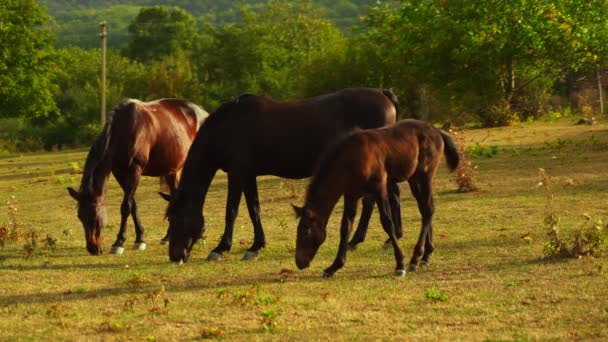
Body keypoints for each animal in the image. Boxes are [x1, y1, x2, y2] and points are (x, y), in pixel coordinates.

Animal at [68, 97, 208, 255]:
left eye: (94, 215)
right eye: (80, 216)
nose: (92, 248)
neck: (124, 129)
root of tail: (203, 112)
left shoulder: (135, 170)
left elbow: (126, 207)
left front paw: (119, 242)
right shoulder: (120, 173)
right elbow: (133, 205)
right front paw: (139, 238)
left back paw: (199, 235)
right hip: (172, 171)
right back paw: (168, 237)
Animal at [164, 89, 404, 264]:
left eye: (177, 219)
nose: (175, 257)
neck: (228, 125)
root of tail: (384, 95)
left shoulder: (237, 173)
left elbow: (231, 211)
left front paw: (220, 248)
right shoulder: (248, 175)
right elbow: (254, 209)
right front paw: (256, 246)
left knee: (379, 199)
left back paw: (372, 240)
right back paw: (379, 239)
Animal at [292, 120, 458, 278]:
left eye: (305, 232)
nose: (300, 262)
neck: (351, 159)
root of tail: (436, 131)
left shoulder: (379, 189)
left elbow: (387, 222)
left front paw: (400, 265)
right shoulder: (351, 195)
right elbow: (345, 227)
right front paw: (333, 267)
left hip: (423, 177)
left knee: (427, 209)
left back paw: (415, 259)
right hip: (414, 180)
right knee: (425, 209)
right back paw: (426, 256)